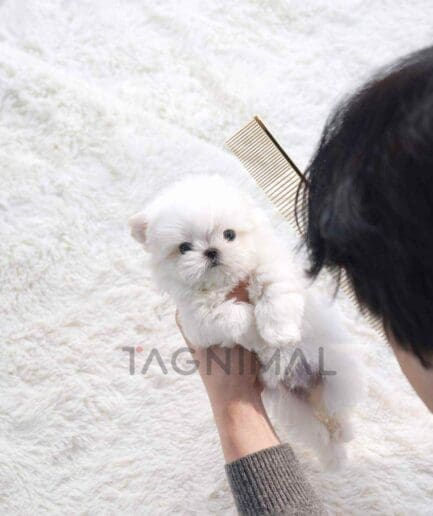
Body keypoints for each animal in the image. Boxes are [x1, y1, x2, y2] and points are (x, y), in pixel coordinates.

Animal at [129, 174, 360, 468]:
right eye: (184, 248)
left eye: (229, 235)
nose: (211, 251)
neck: (225, 283)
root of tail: (310, 388)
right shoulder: (196, 320)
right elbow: (232, 315)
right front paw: (253, 329)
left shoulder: (273, 268)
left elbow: (273, 292)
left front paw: (277, 334)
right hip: (294, 409)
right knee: (320, 432)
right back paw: (336, 454)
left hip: (337, 374)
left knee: (337, 410)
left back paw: (343, 433)